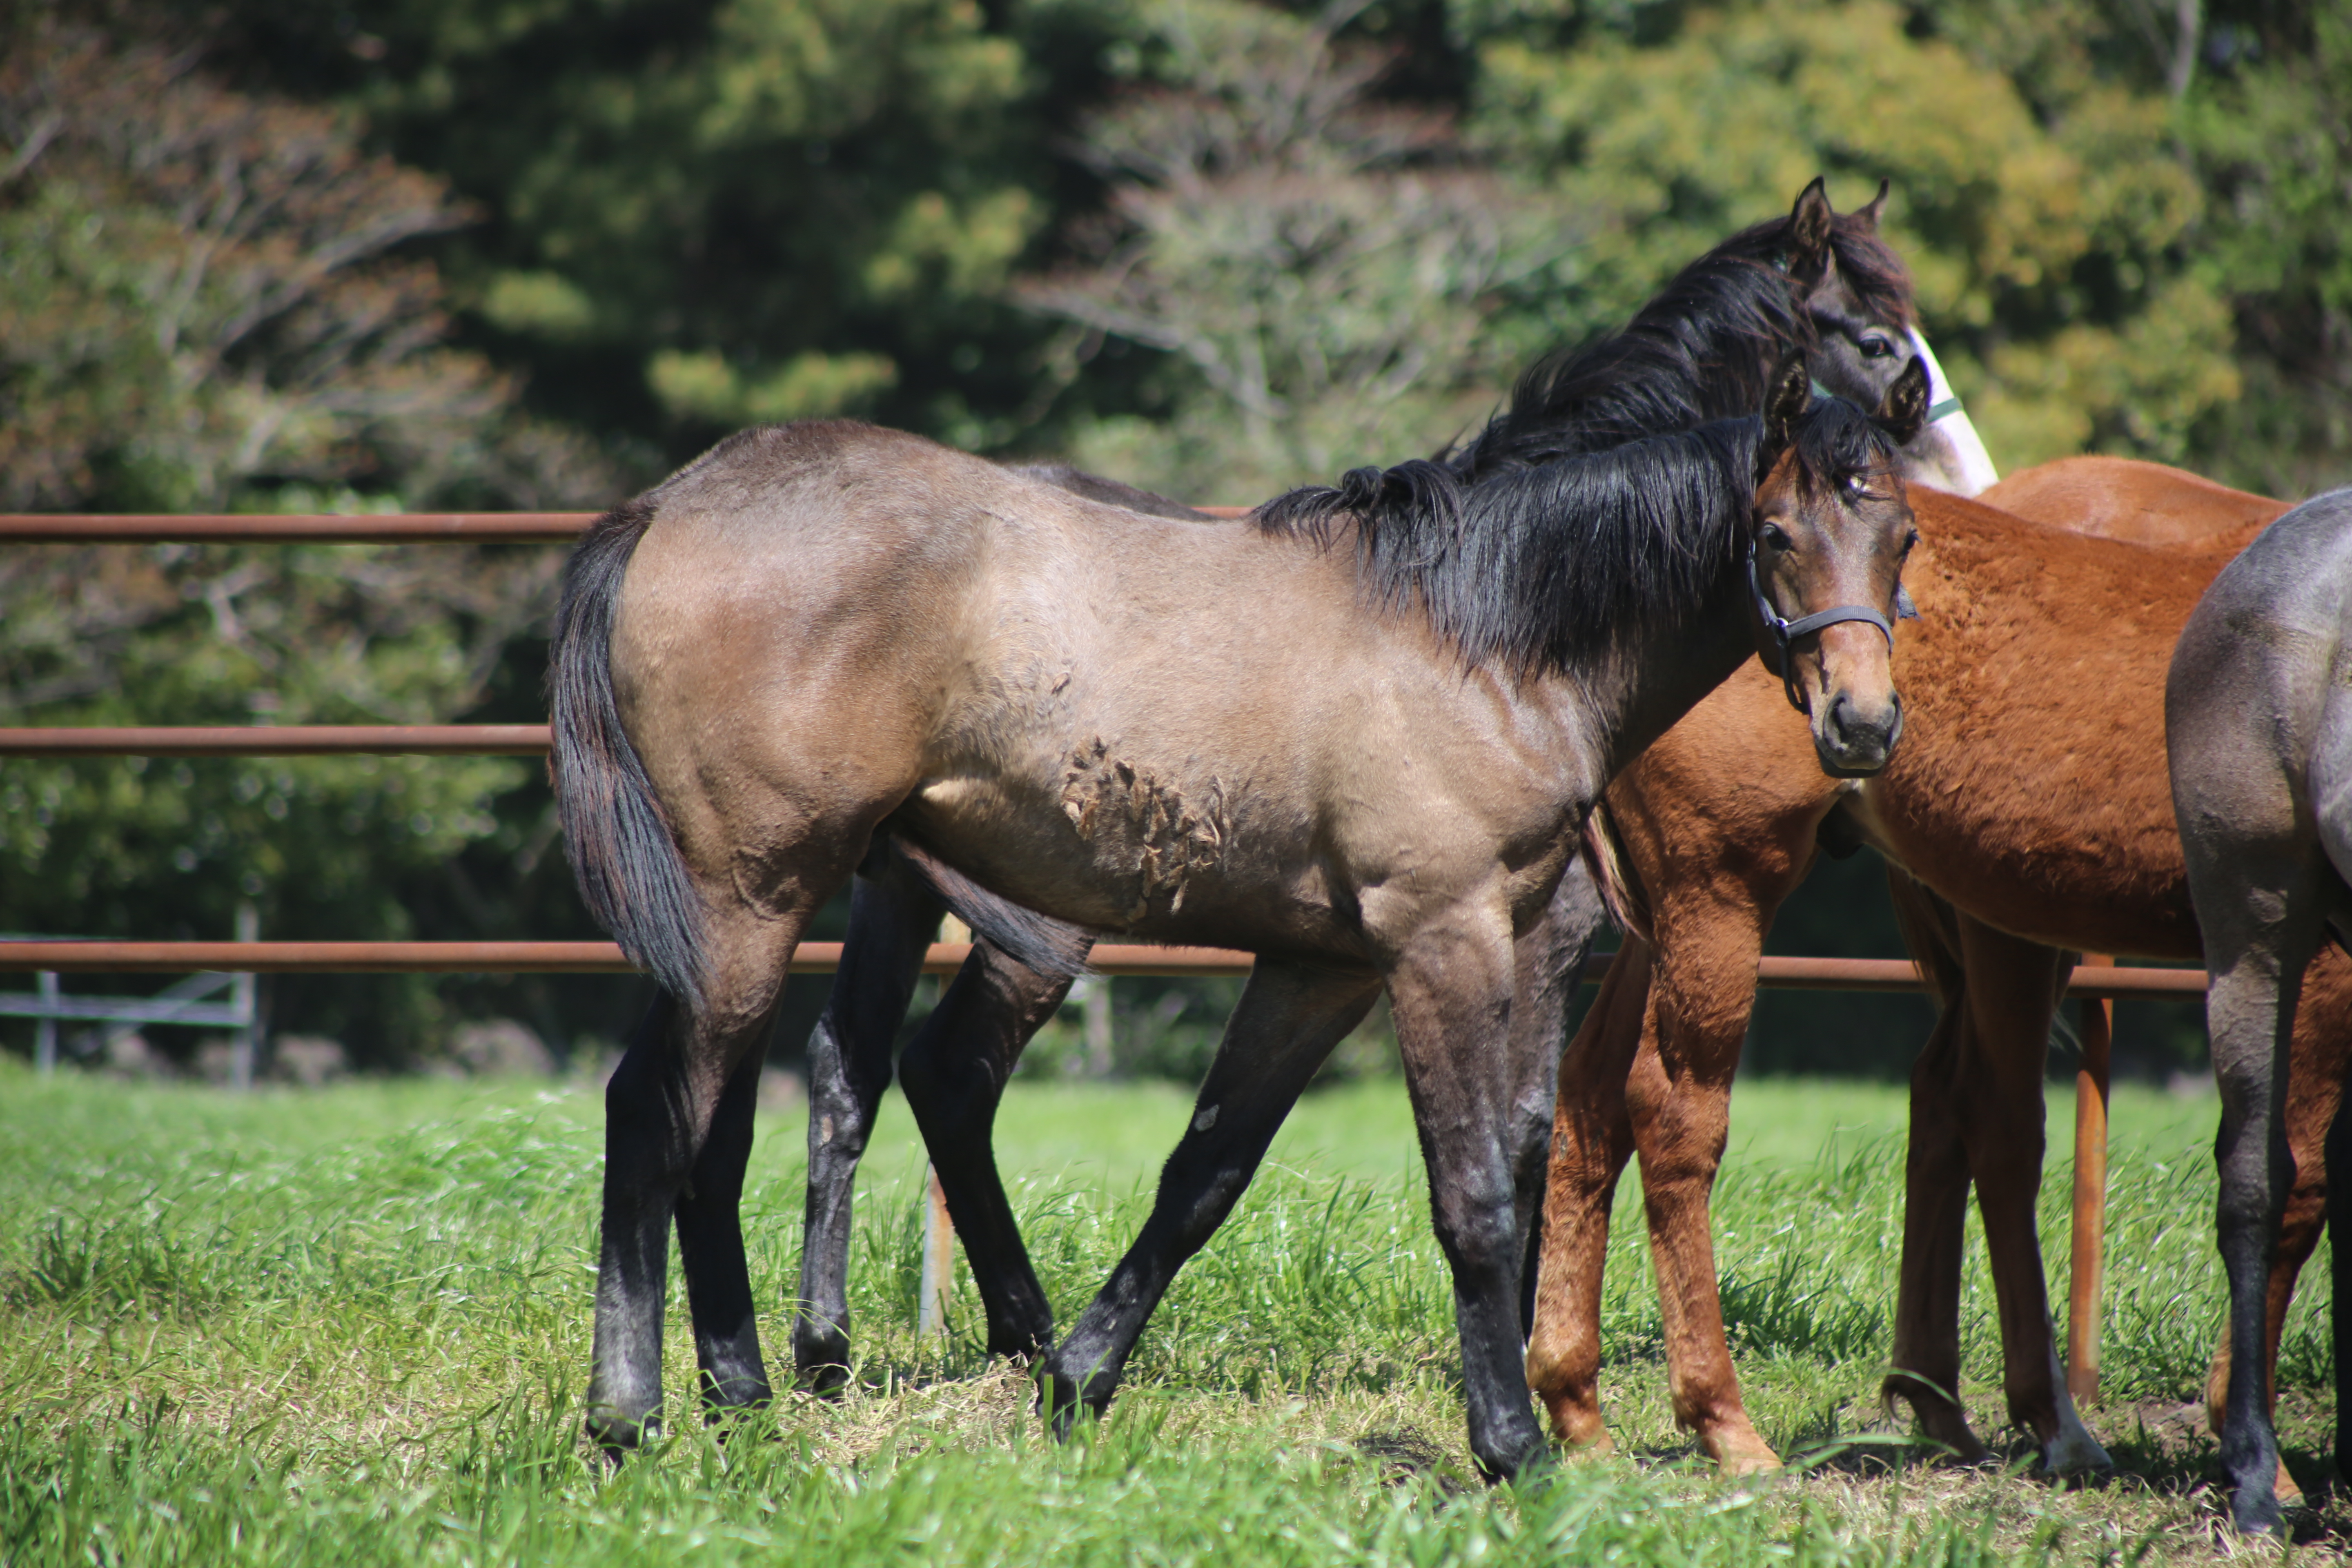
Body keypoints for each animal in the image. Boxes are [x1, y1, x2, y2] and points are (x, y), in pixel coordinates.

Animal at [546, 334, 1929, 1486]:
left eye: (1904, 536)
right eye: (1777, 533)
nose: (1863, 724)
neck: (1481, 637)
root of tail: (668, 507)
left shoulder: (1322, 967)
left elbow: (1203, 1173)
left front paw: (1075, 1382)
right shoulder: (1445, 941)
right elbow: (1479, 1195)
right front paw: (1513, 1448)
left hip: (745, 921)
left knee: (699, 1123)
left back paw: (741, 1394)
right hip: (750, 903)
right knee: (662, 1118)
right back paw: (631, 1416)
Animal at [1524, 456, 2352, 1486]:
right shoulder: (2305, 955)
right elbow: (2293, 1182)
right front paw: (2256, 1452)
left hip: (1681, 917)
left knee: (1594, 1097)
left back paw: (1581, 1404)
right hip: (1722, 897)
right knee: (1678, 1115)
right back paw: (1727, 1419)